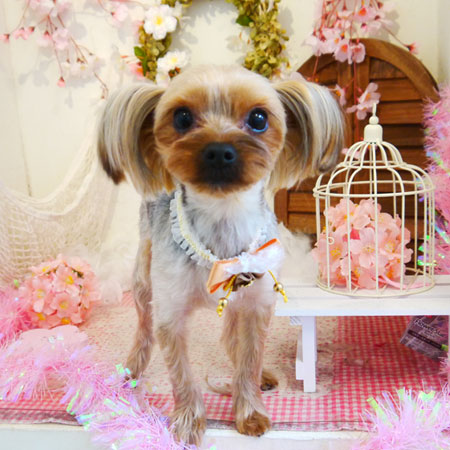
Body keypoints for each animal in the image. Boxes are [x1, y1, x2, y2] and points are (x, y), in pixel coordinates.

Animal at [97, 65, 344, 445]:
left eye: (258, 118)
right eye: (182, 118)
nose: (218, 150)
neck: (223, 221)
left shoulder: (256, 303)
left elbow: (249, 359)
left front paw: (250, 411)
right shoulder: (171, 314)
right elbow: (181, 374)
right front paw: (187, 422)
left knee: (231, 338)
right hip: (143, 278)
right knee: (143, 329)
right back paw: (133, 367)